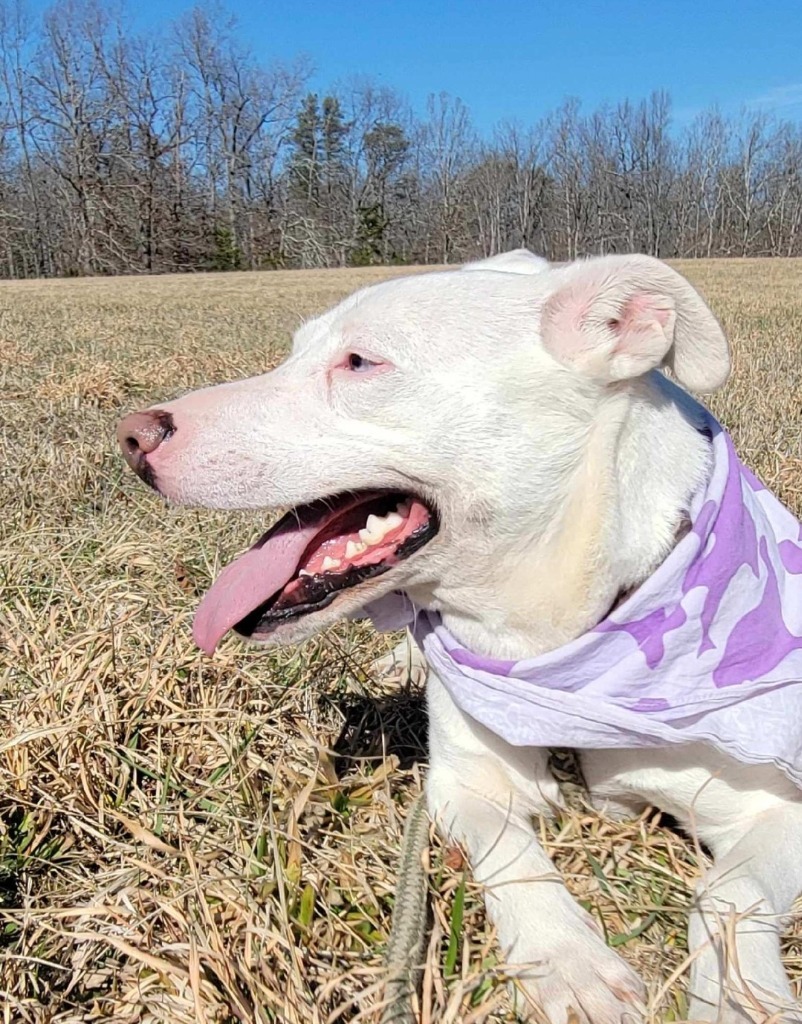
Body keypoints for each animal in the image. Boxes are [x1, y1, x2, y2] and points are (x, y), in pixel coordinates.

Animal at [117, 249, 802, 1024]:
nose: (132, 436)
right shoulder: (464, 785)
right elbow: (512, 852)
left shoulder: (777, 808)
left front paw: (744, 998)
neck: (555, 653)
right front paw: (571, 964)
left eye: (360, 362)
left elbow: (729, 891)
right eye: (294, 352)